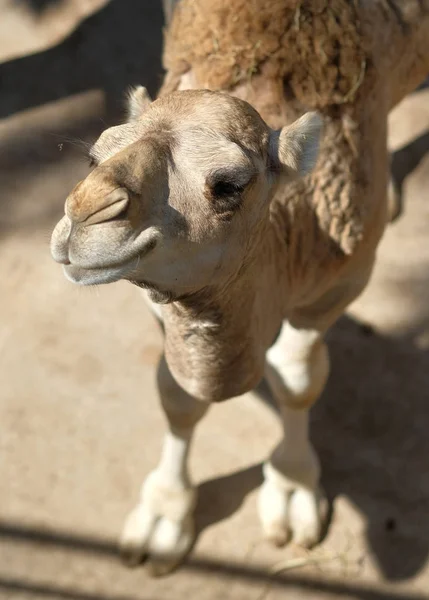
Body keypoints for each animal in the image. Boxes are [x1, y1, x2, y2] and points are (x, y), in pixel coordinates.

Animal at [51, 0, 428, 576]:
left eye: (228, 185)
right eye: (94, 156)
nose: (86, 214)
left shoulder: (337, 287)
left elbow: (297, 378)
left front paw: (294, 491)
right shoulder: (164, 296)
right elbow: (178, 393)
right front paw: (164, 517)